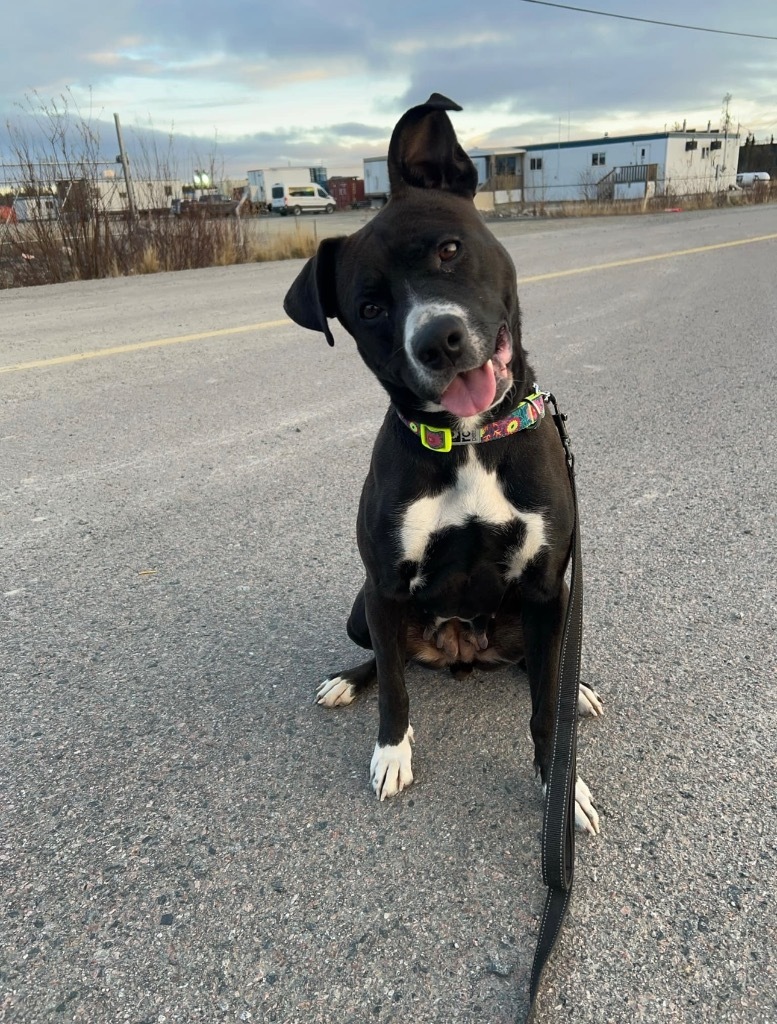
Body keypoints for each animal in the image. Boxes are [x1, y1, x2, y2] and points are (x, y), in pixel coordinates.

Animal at [284, 94, 601, 831]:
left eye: (449, 249)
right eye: (370, 307)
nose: (439, 339)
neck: (467, 438)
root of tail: (459, 651)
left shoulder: (548, 586)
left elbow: (544, 707)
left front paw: (560, 784)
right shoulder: (383, 585)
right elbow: (396, 689)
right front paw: (391, 753)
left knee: (541, 668)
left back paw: (575, 689)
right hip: (362, 606)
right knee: (388, 658)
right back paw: (347, 681)